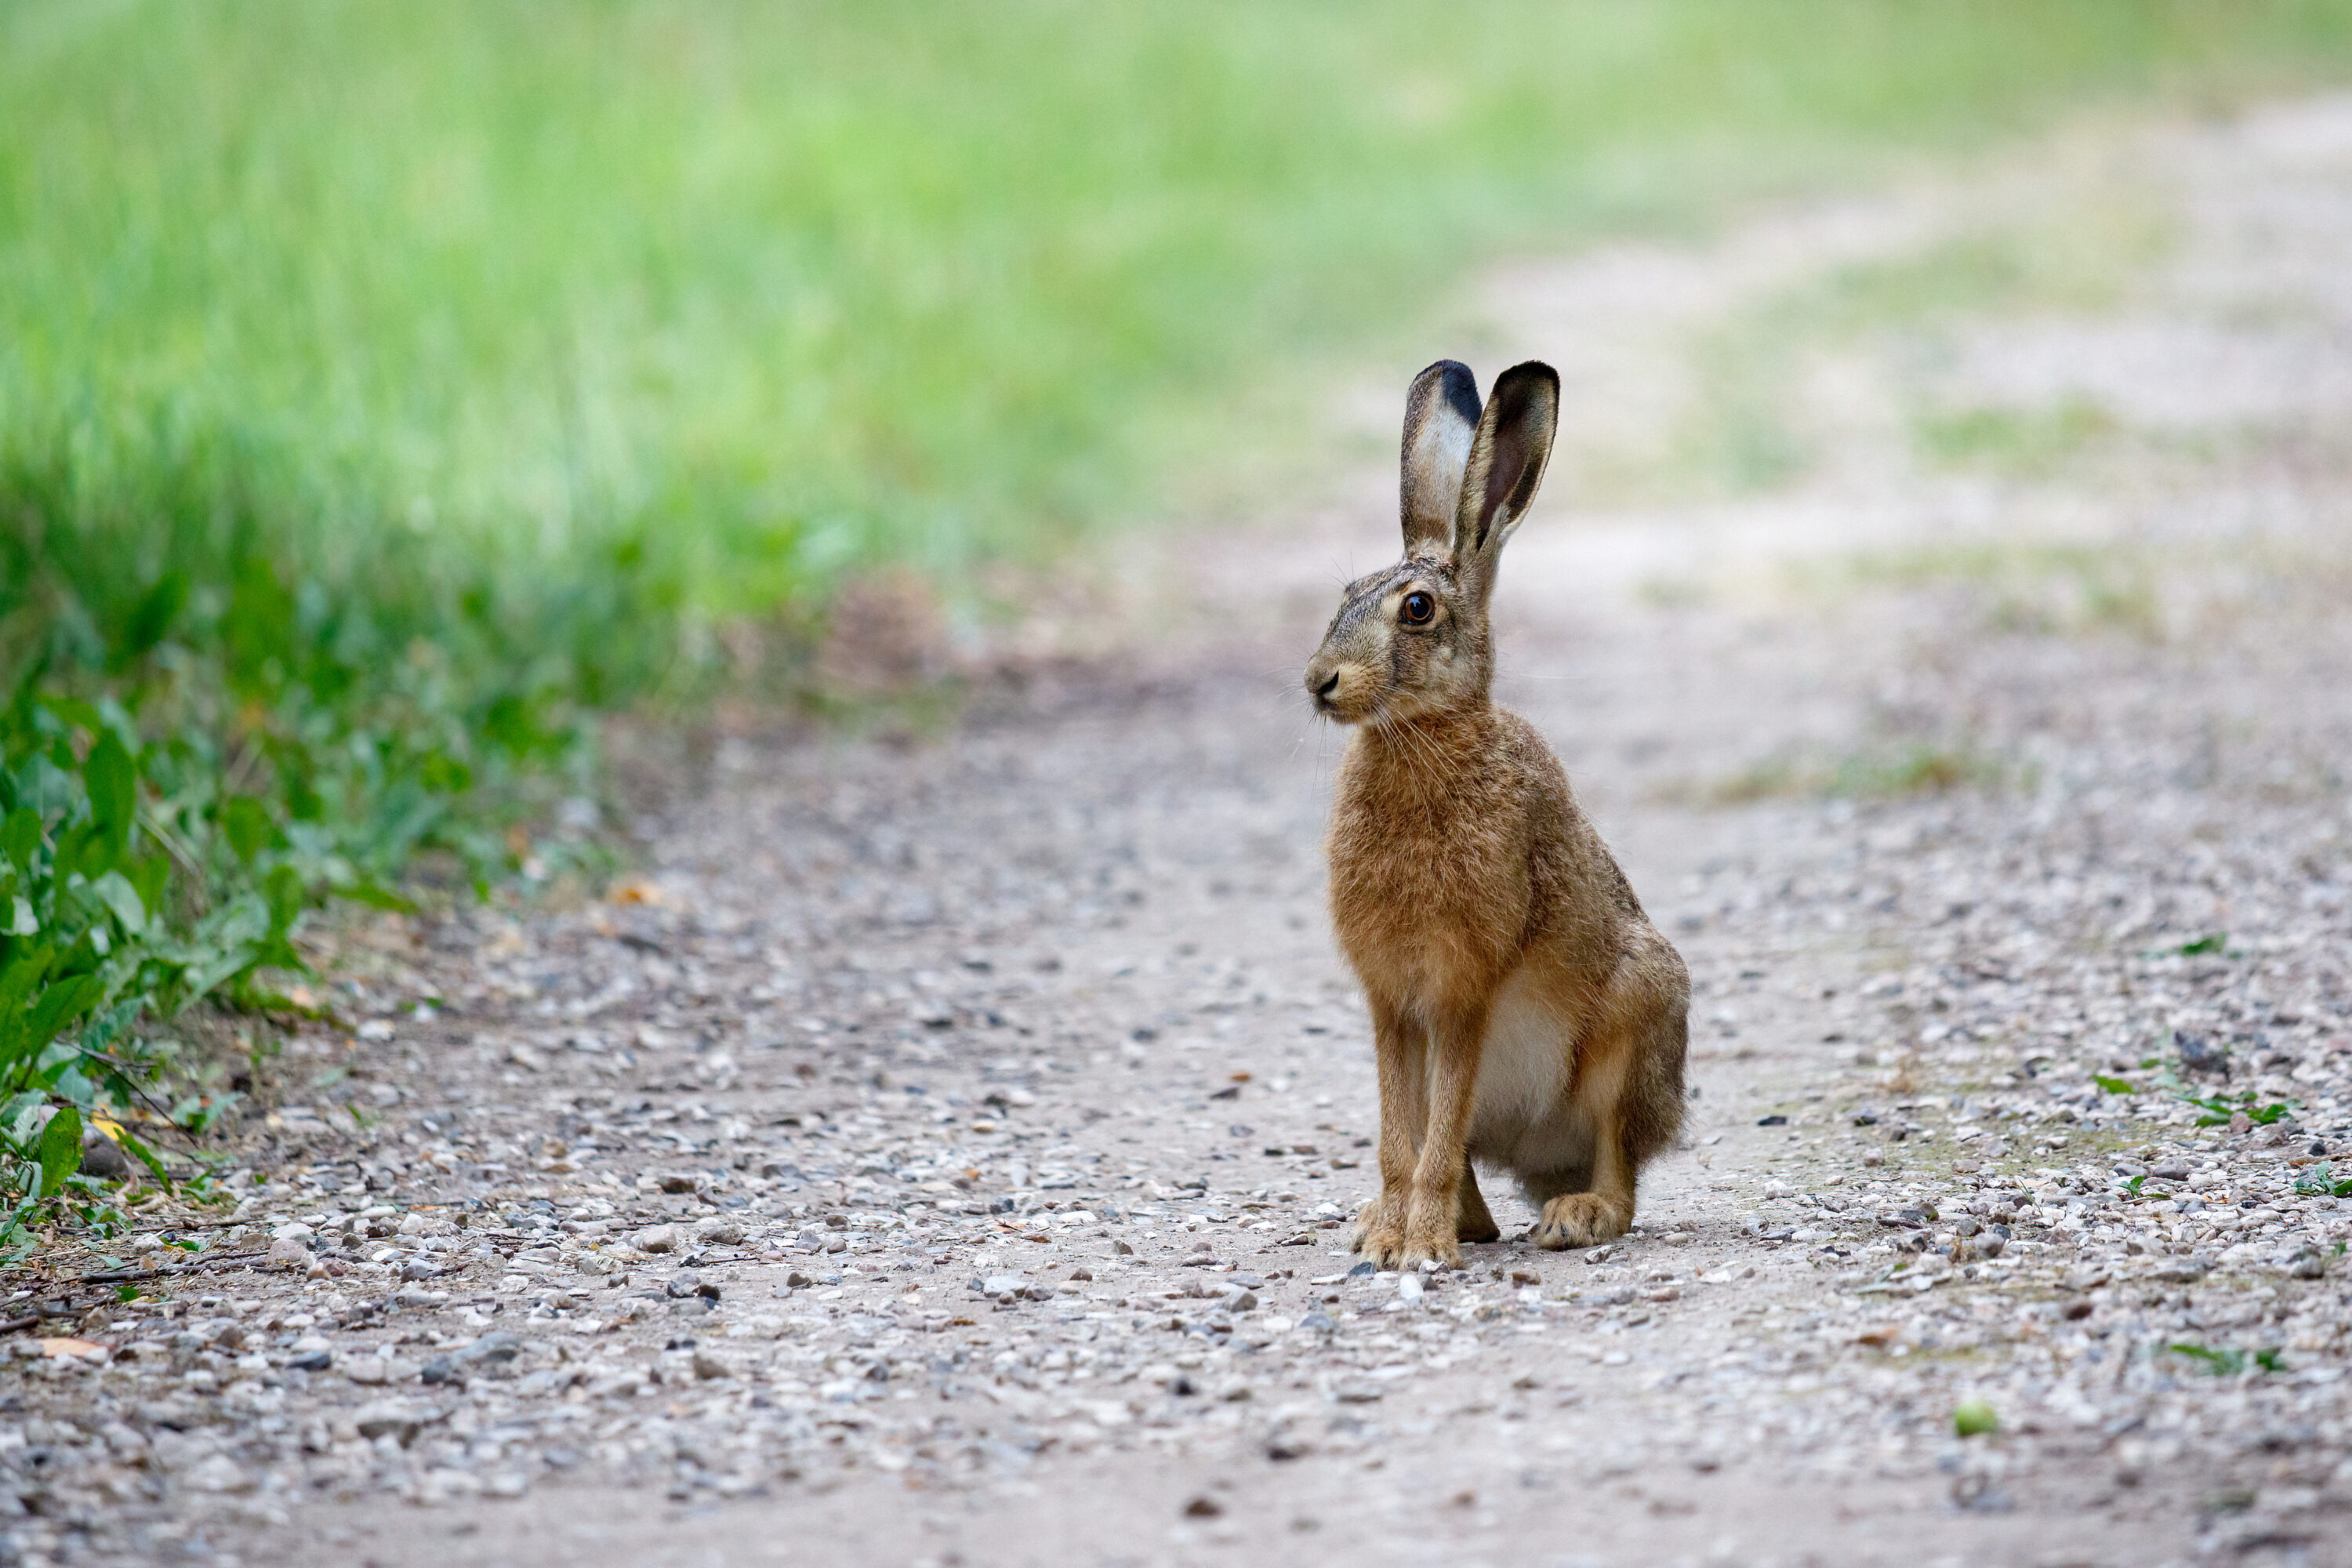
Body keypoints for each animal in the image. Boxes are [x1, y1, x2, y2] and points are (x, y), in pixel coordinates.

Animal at [1302, 358, 1690, 1270]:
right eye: (1345, 595)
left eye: (1416, 609)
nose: (1319, 681)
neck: (1423, 735)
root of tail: (1546, 1162)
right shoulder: (1390, 1002)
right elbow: (1399, 1138)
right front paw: (1388, 1237)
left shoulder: (1460, 992)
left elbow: (1434, 1137)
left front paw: (1419, 1249)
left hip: (1636, 1017)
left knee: (1621, 1167)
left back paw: (1575, 1215)